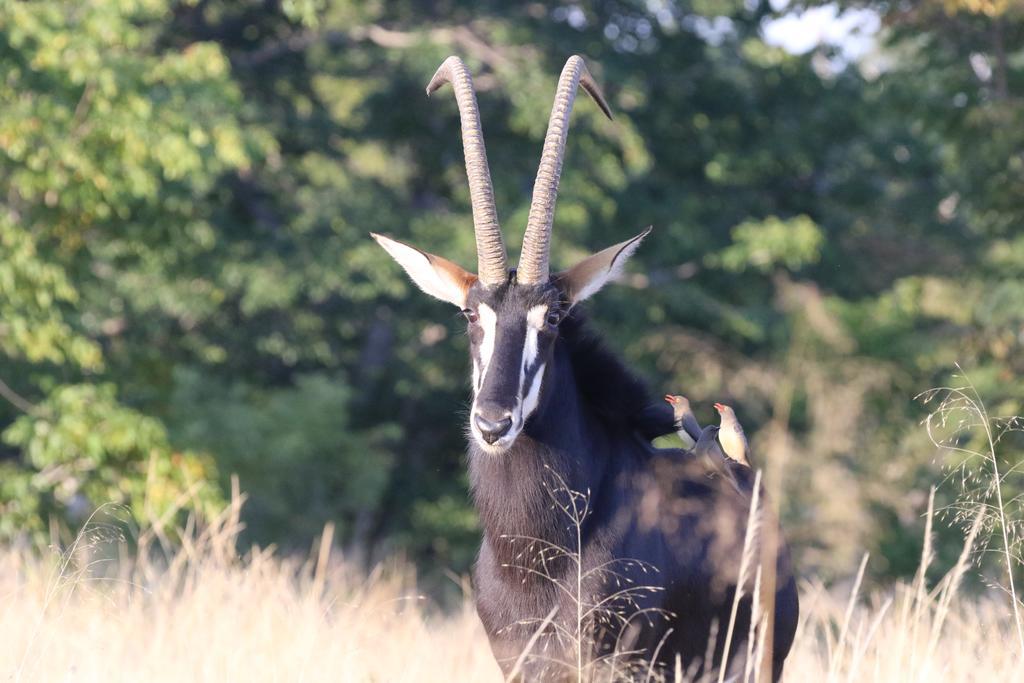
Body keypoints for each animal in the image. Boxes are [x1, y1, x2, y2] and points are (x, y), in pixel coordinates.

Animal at [372, 56, 794, 679]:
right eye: (471, 314)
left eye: (553, 318)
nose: (494, 424)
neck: (539, 551)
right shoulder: (518, 660)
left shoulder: (618, 658)